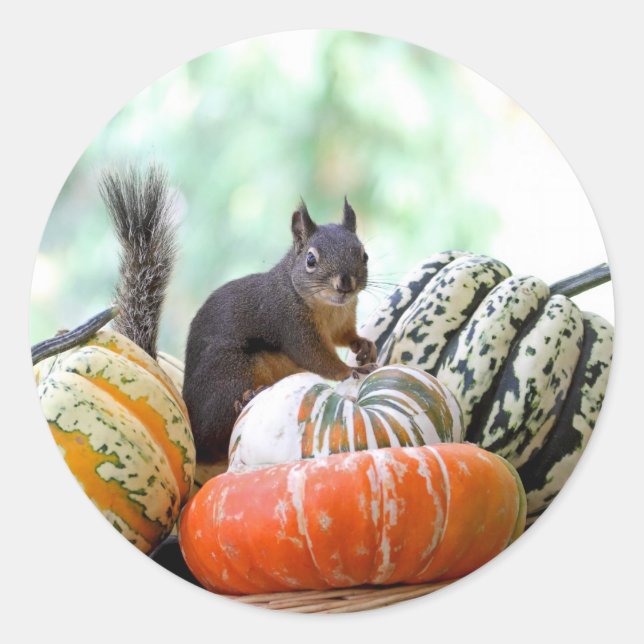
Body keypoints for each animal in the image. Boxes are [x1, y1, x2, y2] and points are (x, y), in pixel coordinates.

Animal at [183, 198, 378, 462]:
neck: (329, 308)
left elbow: (345, 336)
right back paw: (247, 399)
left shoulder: (343, 318)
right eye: (310, 260)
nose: (345, 284)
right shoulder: (292, 325)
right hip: (234, 373)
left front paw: (363, 345)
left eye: (364, 255)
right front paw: (351, 370)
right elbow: (317, 358)